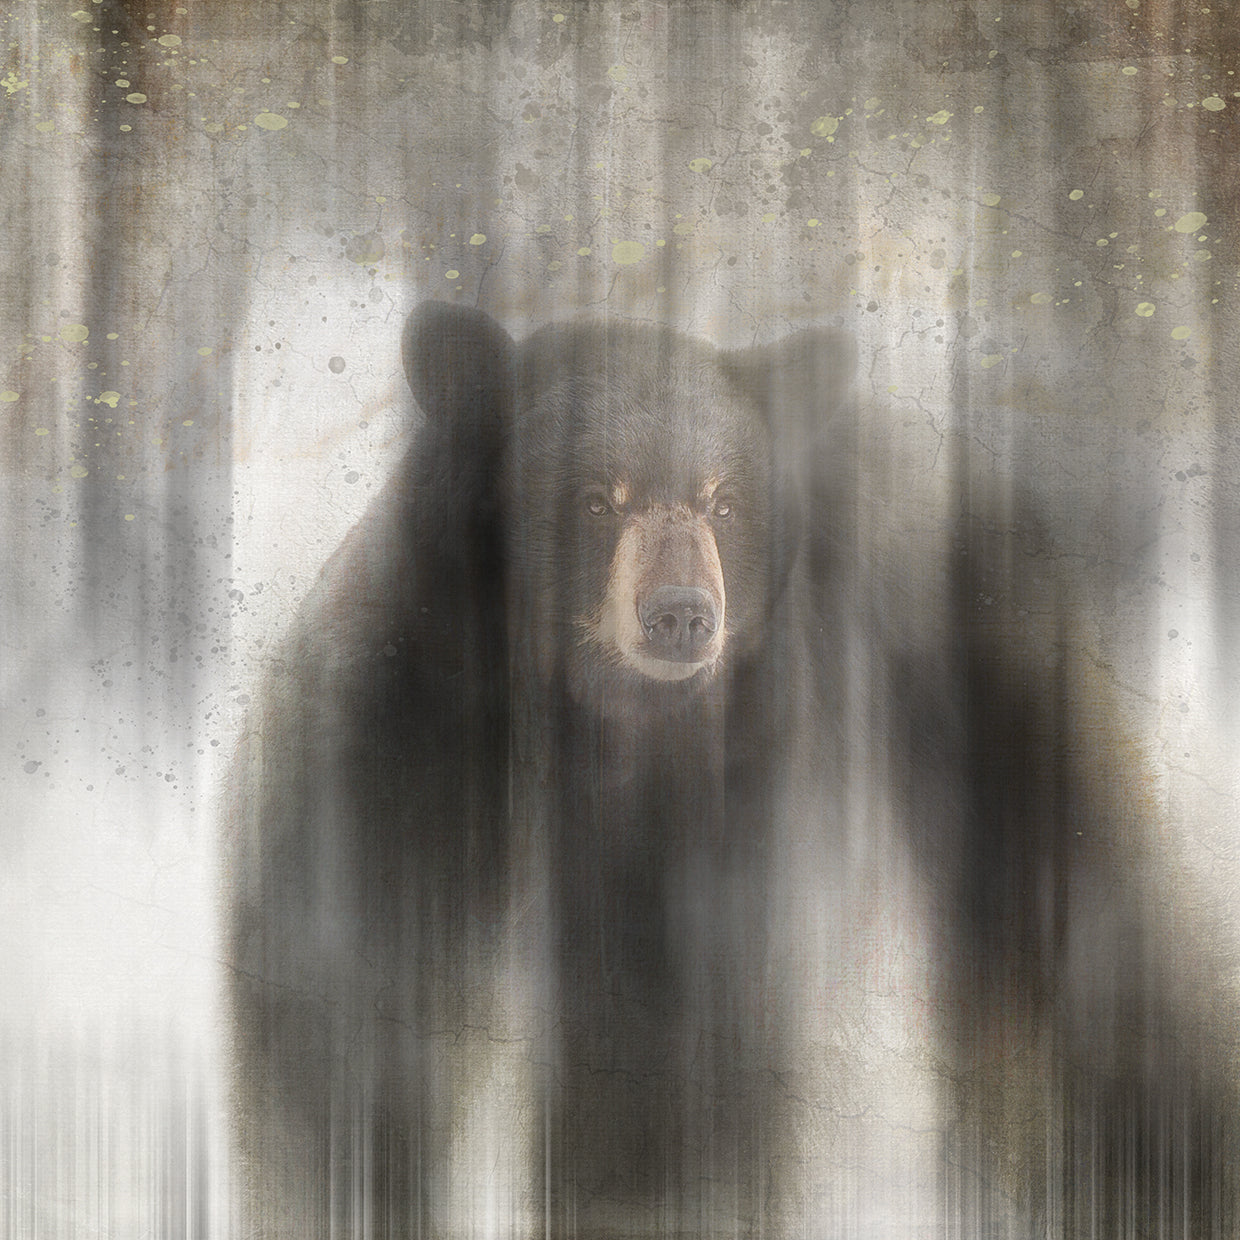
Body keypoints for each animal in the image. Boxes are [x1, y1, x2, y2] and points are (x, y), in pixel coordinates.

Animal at [226, 300, 1236, 1239]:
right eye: (596, 499)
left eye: (723, 501)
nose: (679, 613)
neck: (603, 730)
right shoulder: (407, 734)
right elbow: (345, 999)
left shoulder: (742, 805)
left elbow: (673, 1065)